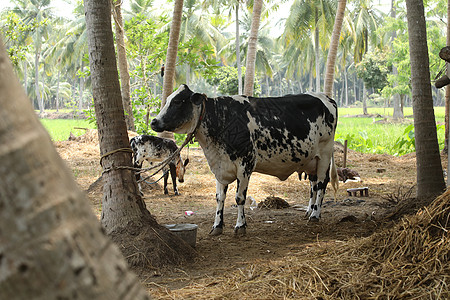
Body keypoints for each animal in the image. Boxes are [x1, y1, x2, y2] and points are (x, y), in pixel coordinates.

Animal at [151, 84, 338, 234]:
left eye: (177, 101)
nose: (154, 122)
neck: (221, 118)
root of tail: (327, 98)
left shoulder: (245, 165)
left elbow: (239, 198)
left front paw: (240, 225)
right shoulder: (220, 166)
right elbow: (220, 198)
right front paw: (217, 225)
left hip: (324, 154)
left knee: (321, 183)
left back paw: (315, 214)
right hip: (311, 160)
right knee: (313, 185)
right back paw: (309, 210)